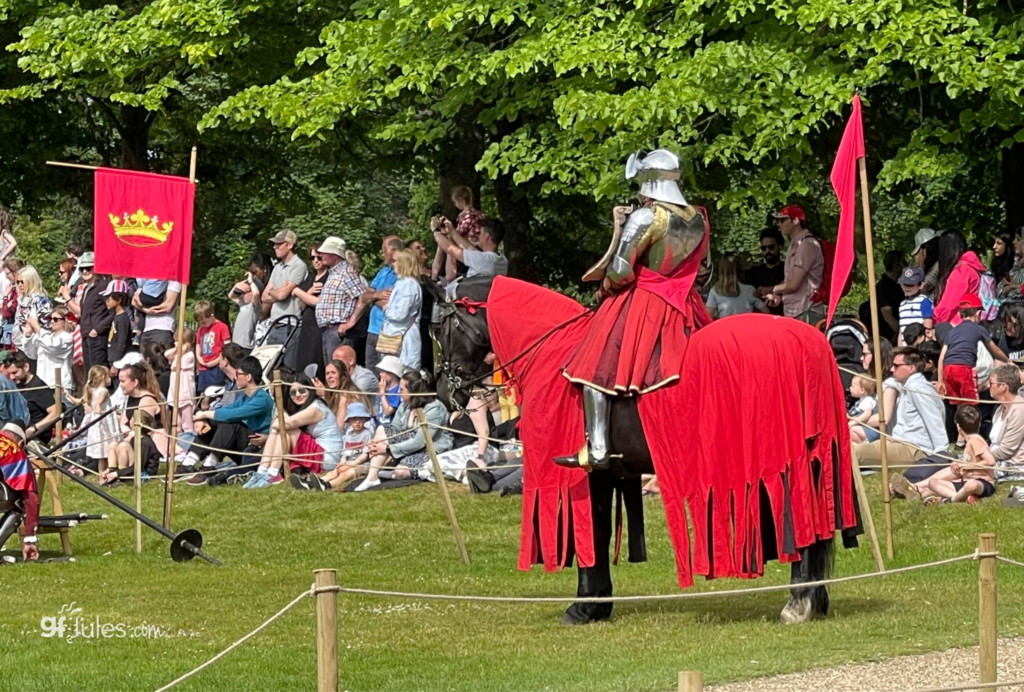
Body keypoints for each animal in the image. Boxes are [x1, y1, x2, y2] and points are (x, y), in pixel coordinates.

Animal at [428, 276, 860, 626]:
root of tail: (808, 339)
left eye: (440, 328)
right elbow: (600, 532)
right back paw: (813, 599)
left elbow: (591, 533)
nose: (446, 393)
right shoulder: (607, 474)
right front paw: (597, 604)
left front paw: (583, 606)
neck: (552, 351)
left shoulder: (584, 474)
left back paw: (798, 604)